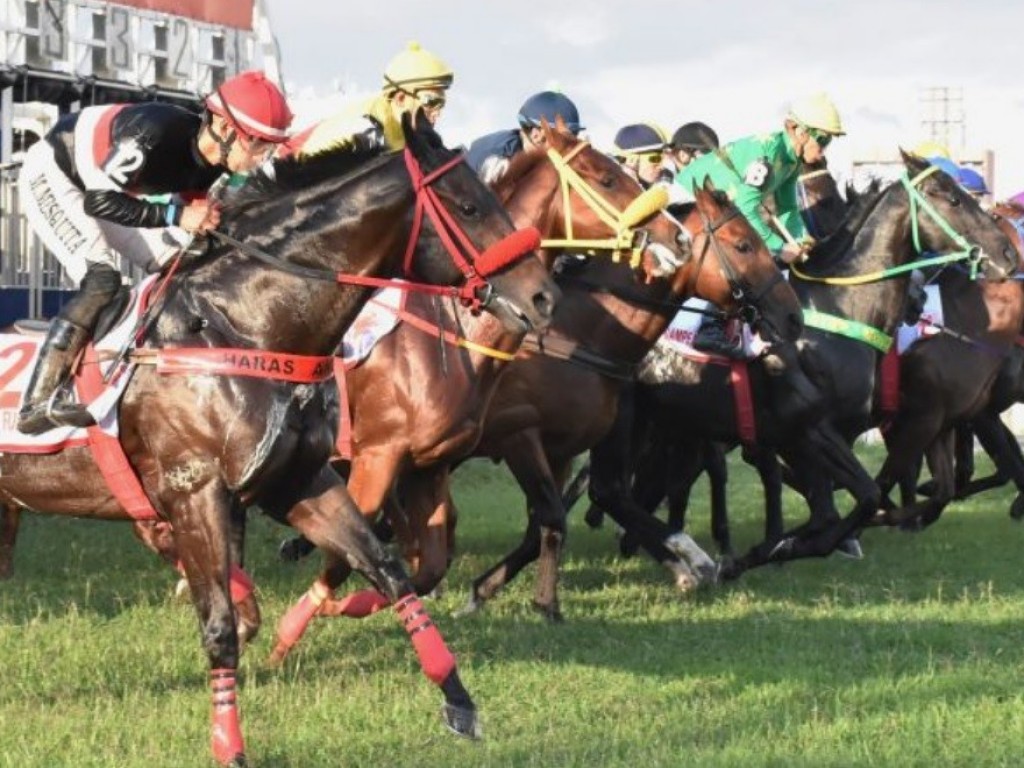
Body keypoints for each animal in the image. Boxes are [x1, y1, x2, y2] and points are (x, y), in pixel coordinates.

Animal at [0, 115, 561, 768]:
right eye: (470, 206)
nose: (544, 297)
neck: (243, 325)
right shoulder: (196, 492)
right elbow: (218, 626)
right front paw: (229, 743)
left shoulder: (299, 480)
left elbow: (386, 568)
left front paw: (458, 700)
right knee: (99, 270)